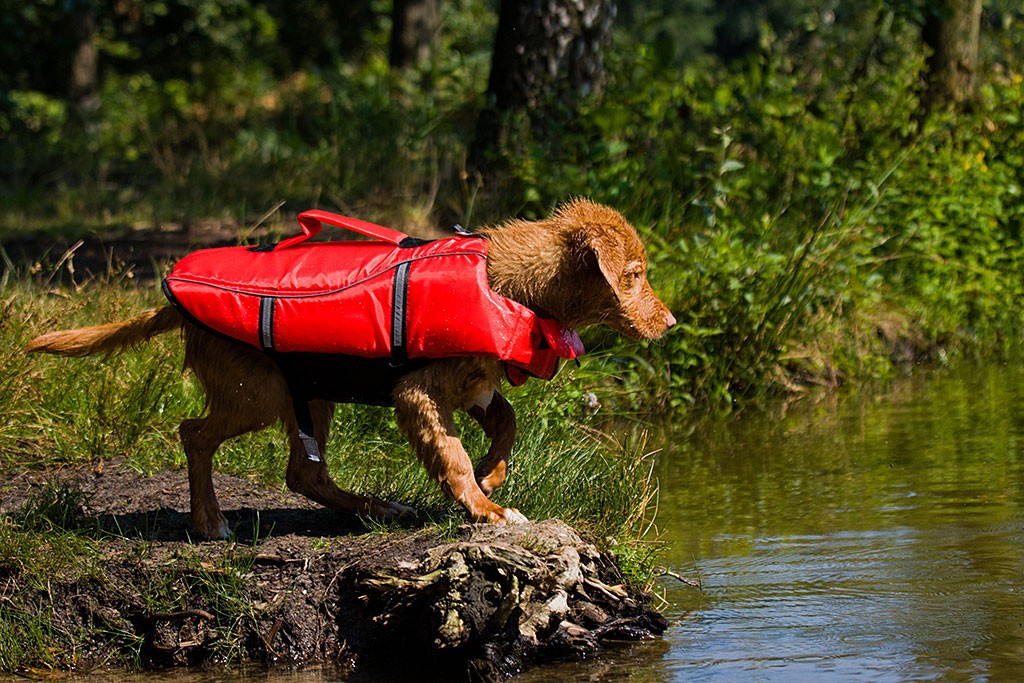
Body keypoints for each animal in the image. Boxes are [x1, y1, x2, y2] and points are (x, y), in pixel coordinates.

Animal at [24, 198, 675, 540]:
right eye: (635, 274)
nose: (669, 324)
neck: (507, 289)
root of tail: (173, 295)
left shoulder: (473, 384)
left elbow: (507, 422)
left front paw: (493, 476)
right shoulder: (417, 393)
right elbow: (453, 456)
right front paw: (485, 507)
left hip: (312, 392)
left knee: (302, 475)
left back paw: (378, 509)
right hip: (257, 392)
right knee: (195, 434)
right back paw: (211, 522)